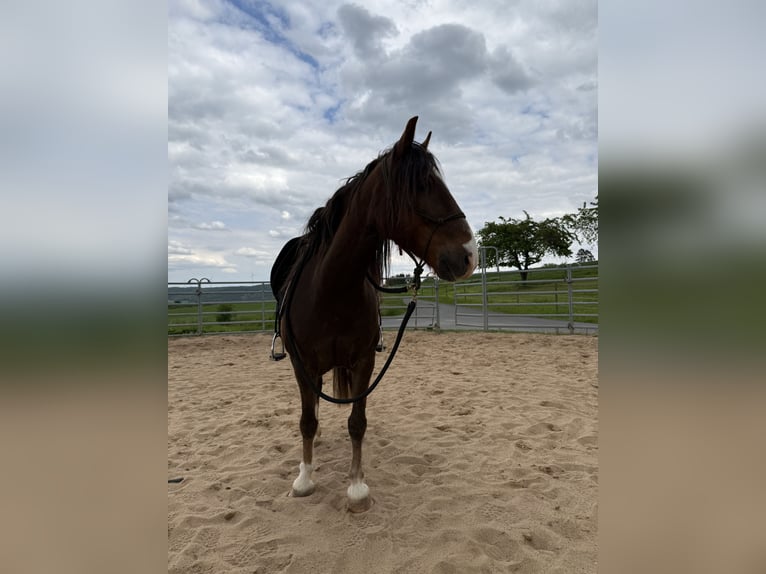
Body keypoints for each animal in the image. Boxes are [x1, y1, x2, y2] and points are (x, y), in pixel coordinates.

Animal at [271, 116, 478, 512]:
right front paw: (304, 479)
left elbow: (357, 421)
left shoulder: (364, 361)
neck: (331, 289)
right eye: (422, 185)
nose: (468, 256)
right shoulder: (302, 365)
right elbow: (306, 421)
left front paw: (356, 487)